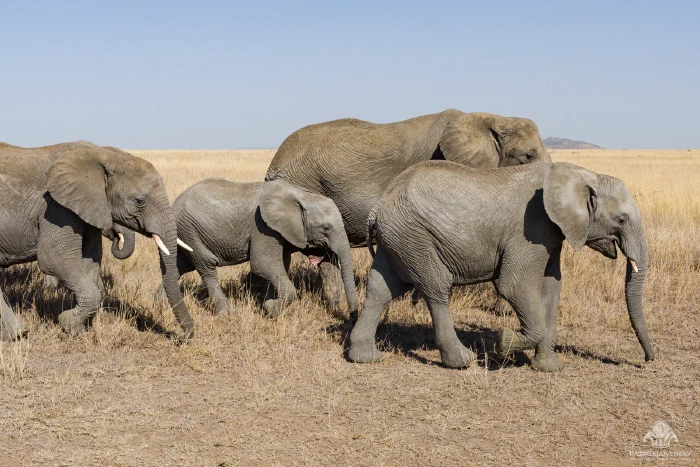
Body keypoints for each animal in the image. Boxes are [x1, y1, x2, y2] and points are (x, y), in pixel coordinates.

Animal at [0, 141, 195, 339]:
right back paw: (17, 334)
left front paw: (80, 329)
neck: (105, 155)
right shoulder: (55, 207)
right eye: (139, 200)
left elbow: (90, 263)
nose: (182, 336)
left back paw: (16, 334)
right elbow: (54, 260)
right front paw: (66, 322)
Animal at [171, 178, 358, 316]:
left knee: (180, 266)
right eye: (326, 228)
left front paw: (267, 305)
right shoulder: (264, 227)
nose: (350, 314)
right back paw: (225, 313)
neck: (301, 195)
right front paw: (271, 308)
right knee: (206, 266)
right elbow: (263, 264)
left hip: (186, 233)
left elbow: (281, 264)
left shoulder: (280, 232)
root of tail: (174, 203)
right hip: (190, 230)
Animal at [348, 161, 654, 372]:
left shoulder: (552, 233)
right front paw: (502, 341)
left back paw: (365, 357)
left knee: (380, 289)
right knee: (435, 289)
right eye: (622, 220)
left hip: (397, 239)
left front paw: (548, 368)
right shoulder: (531, 228)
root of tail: (377, 207)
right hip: (415, 237)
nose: (647, 360)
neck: (581, 174)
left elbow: (551, 288)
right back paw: (462, 361)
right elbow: (514, 285)